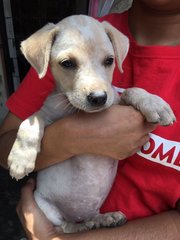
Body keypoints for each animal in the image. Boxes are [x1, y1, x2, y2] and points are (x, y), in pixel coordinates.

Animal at [7, 14, 175, 232]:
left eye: (109, 61)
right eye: (67, 63)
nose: (98, 98)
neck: (76, 109)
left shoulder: (114, 100)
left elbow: (130, 90)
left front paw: (154, 103)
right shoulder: (47, 113)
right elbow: (29, 123)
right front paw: (20, 160)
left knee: (84, 218)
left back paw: (104, 219)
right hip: (45, 206)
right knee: (66, 227)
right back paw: (85, 226)